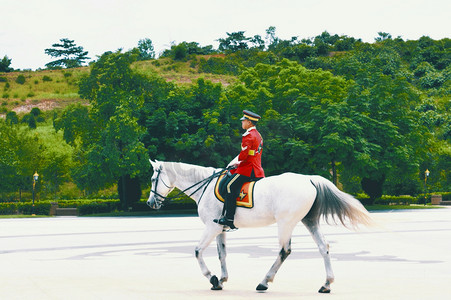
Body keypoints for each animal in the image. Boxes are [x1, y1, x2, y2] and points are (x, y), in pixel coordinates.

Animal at [147, 159, 372, 292]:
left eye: (152, 179)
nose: (150, 203)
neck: (206, 185)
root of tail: (309, 179)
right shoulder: (220, 228)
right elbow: (222, 254)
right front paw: (222, 279)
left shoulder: (211, 227)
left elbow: (197, 251)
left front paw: (212, 278)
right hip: (309, 220)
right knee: (323, 247)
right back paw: (326, 284)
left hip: (286, 223)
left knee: (284, 250)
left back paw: (264, 281)